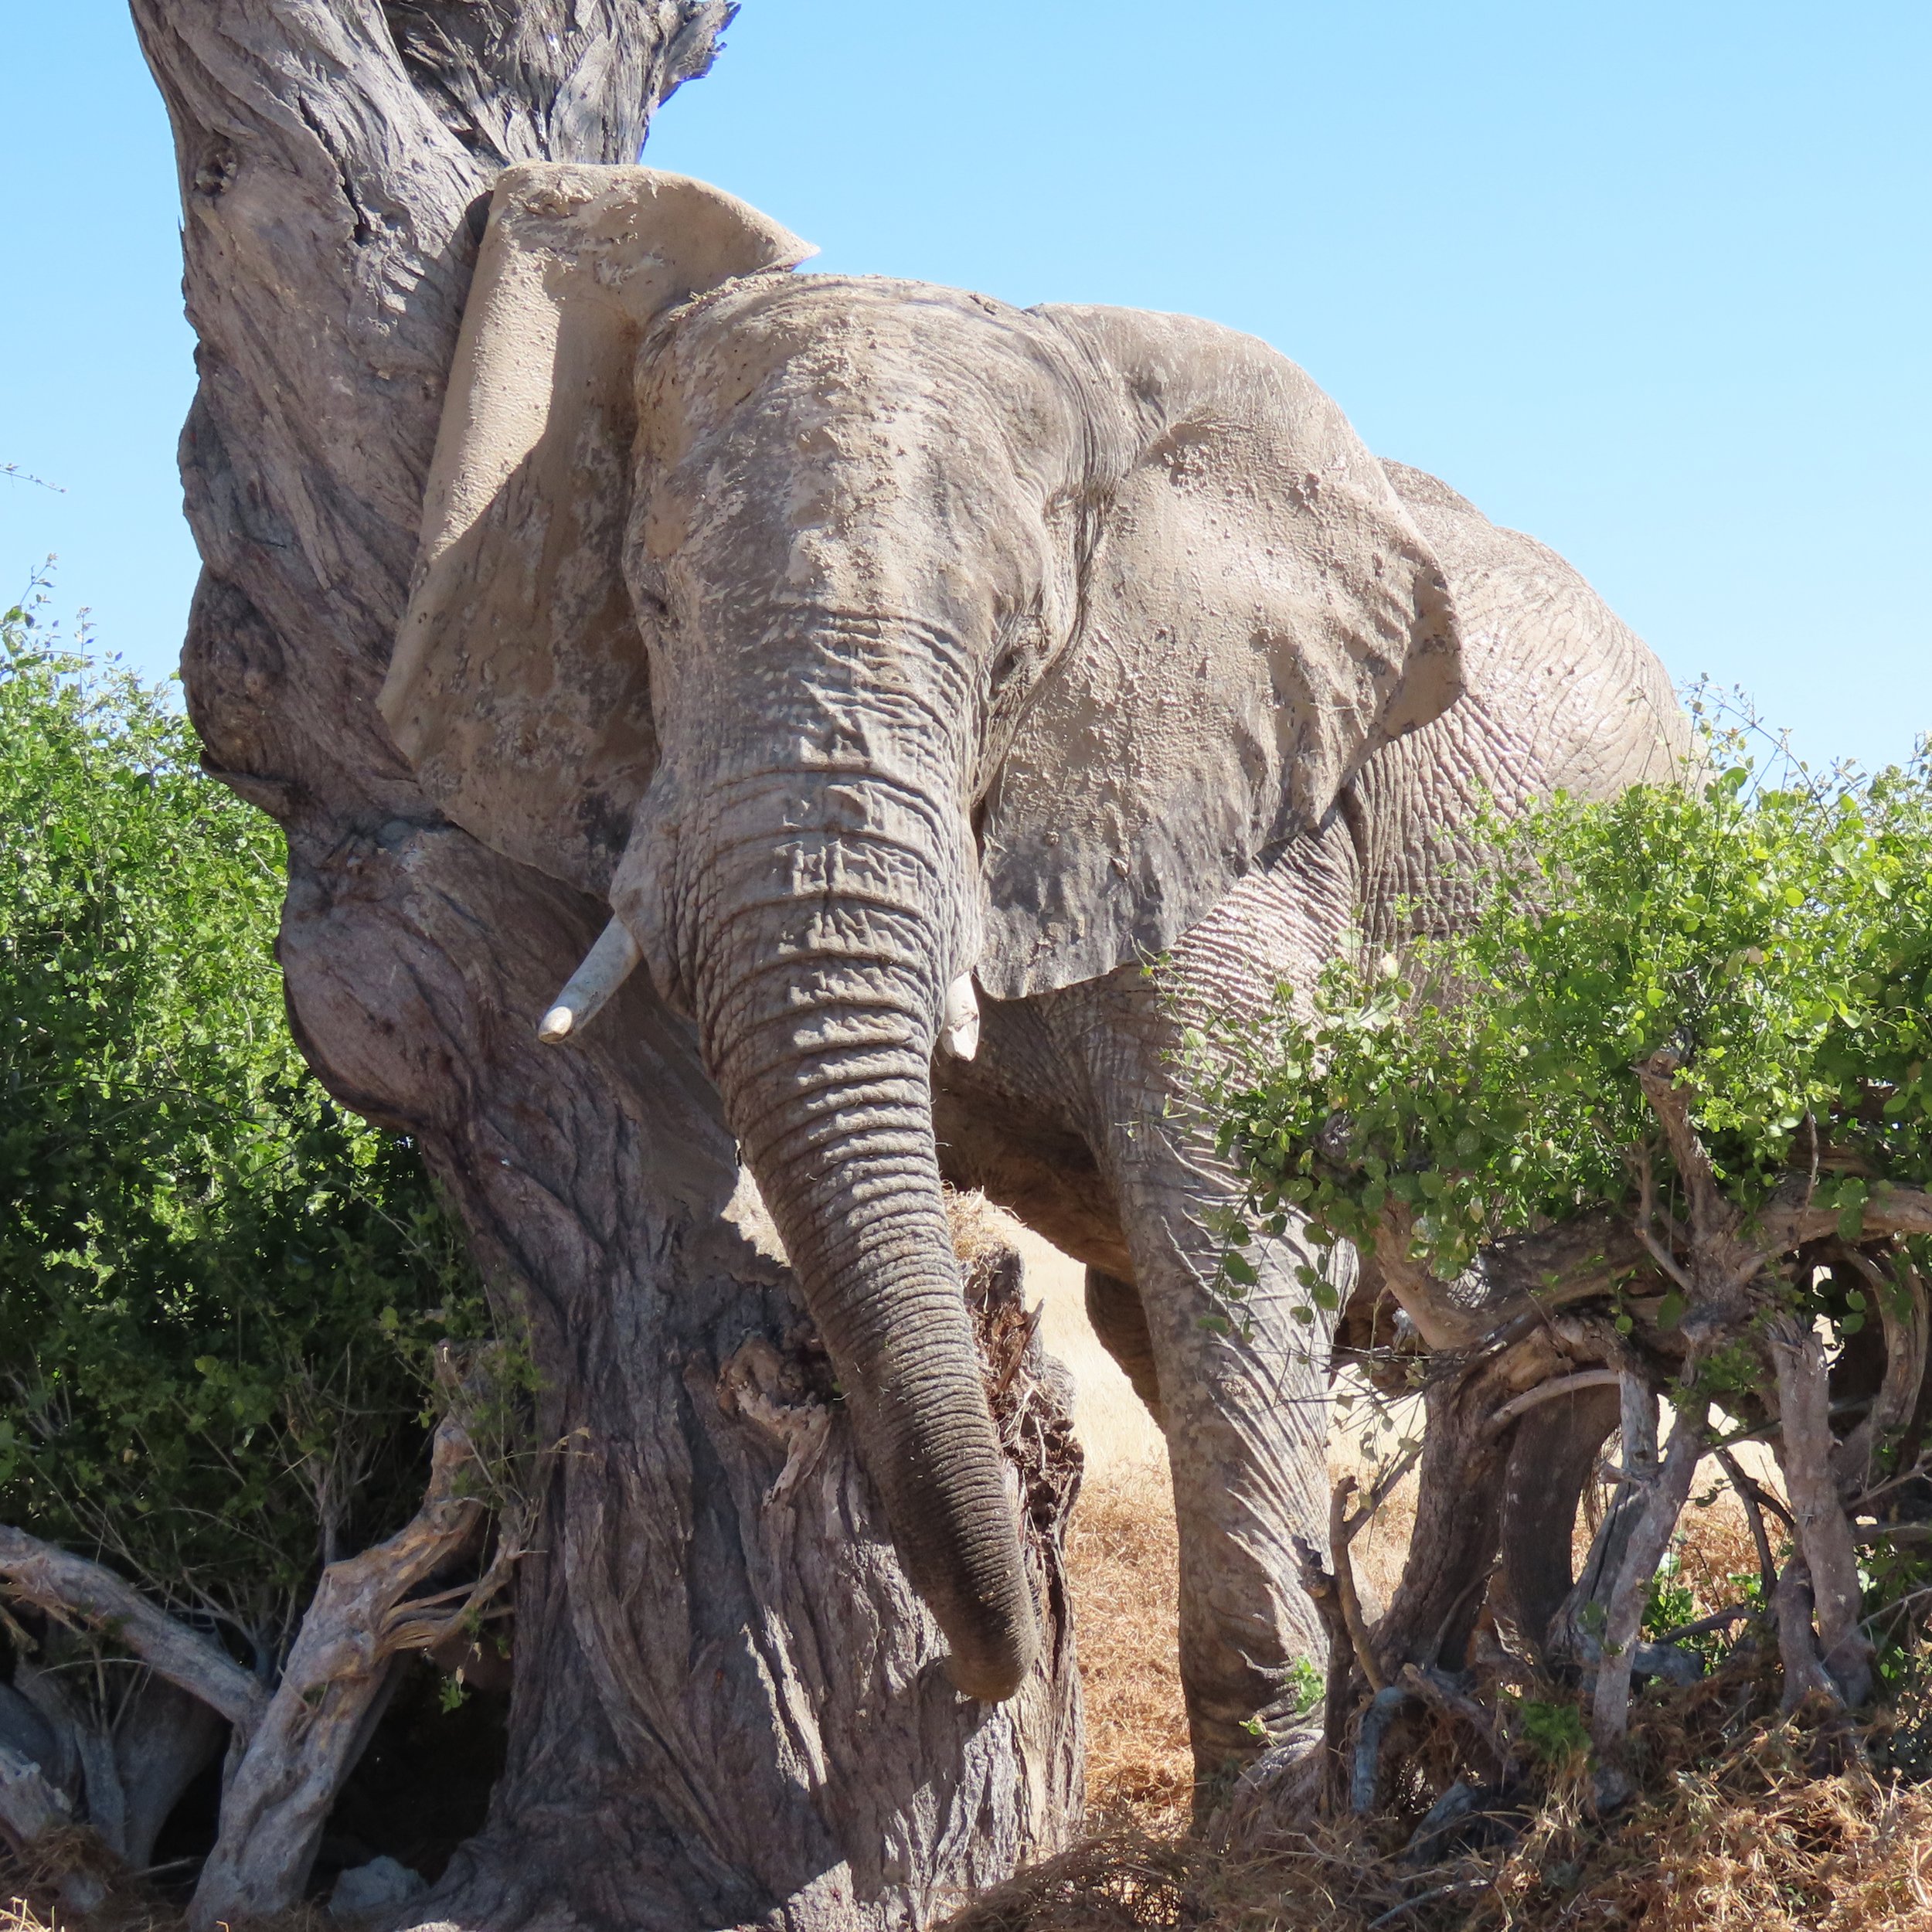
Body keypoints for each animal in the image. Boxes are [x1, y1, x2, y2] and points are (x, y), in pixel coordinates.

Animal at [381, 162, 1686, 1782]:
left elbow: (1239, 1239)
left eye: (1016, 659)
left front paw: (1272, 1816)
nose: (971, 1681)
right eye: (658, 612)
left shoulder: (1260, 833)